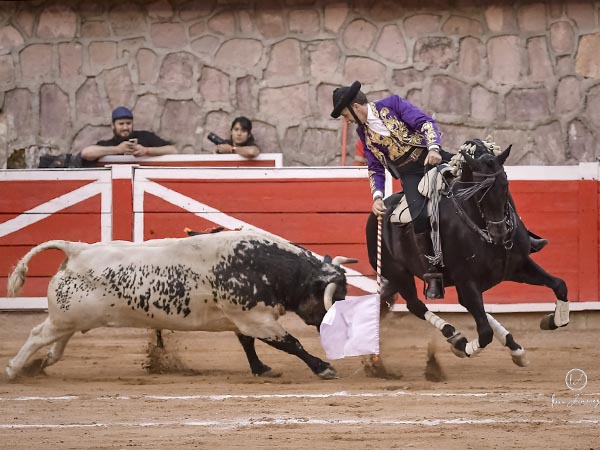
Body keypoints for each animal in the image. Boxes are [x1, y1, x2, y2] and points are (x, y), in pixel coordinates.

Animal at [4, 230, 354, 382]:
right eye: (335, 297)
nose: (335, 328)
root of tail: (76, 250)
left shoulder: (244, 318)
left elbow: (248, 344)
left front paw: (261, 369)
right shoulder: (255, 317)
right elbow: (290, 343)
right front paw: (323, 367)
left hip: (70, 319)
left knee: (56, 343)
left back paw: (41, 364)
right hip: (63, 318)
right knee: (37, 335)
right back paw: (13, 370)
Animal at [368, 138, 568, 366]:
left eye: (505, 185)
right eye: (478, 192)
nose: (499, 232)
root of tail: (378, 211)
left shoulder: (518, 266)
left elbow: (559, 284)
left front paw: (553, 320)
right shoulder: (467, 281)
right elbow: (484, 333)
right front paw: (463, 347)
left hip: (398, 277)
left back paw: (515, 348)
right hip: (398, 273)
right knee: (415, 305)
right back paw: (454, 336)